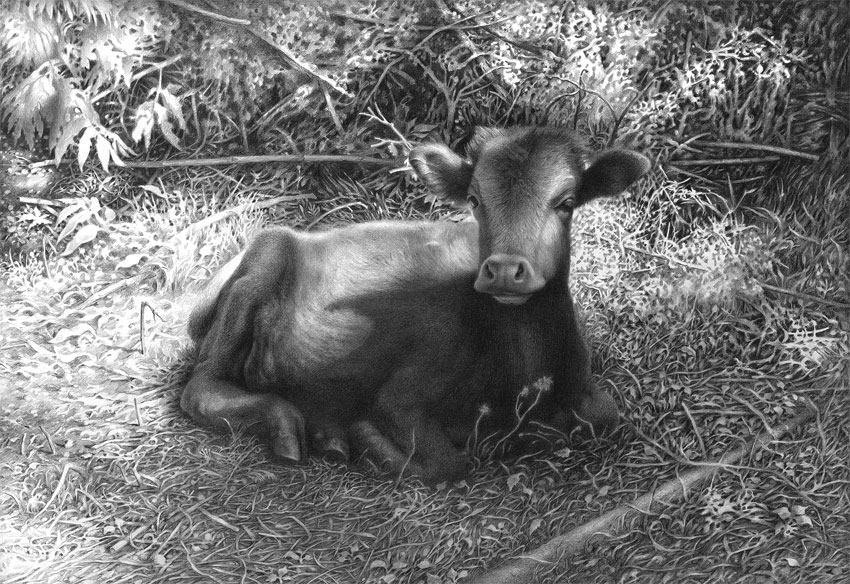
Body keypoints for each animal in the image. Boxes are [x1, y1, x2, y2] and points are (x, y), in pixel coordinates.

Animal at [182, 126, 644, 484]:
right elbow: (447, 462)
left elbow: (606, 417)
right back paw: (294, 426)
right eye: (474, 200)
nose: (503, 269)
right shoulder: (402, 395)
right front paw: (364, 438)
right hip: (262, 268)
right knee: (201, 387)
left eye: (566, 202)